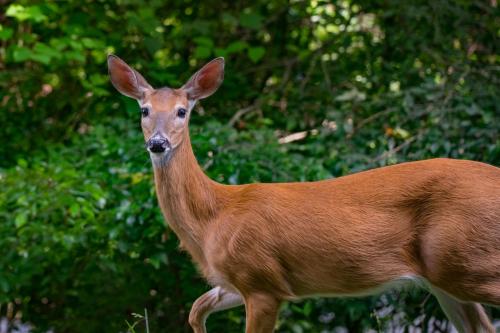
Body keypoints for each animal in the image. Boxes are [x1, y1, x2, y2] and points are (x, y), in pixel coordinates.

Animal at [106, 55, 500, 330]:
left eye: (182, 111)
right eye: (144, 110)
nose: (157, 143)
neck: (214, 217)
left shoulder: (261, 281)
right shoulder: (235, 281)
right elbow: (195, 309)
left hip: (466, 260)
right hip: (445, 278)